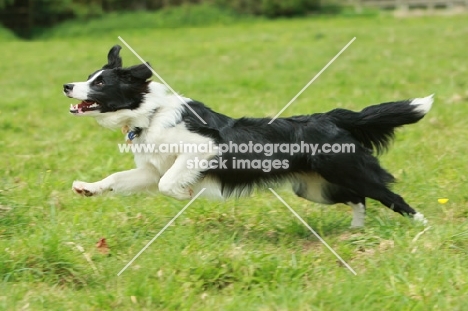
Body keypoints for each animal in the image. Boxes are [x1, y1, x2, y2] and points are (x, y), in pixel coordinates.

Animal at [63, 45, 432, 228]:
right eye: (89, 77)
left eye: (100, 83)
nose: (66, 85)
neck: (149, 114)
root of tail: (330, 117)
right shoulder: (151, 169)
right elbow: (120, 178)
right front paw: (87, 188)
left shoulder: (202, 148)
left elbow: (168, 184)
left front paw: (185, 195)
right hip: (315, 187)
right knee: (358, 198)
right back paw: (356, 231)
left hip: (347, 169)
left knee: (388, 196)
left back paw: (423, 226)